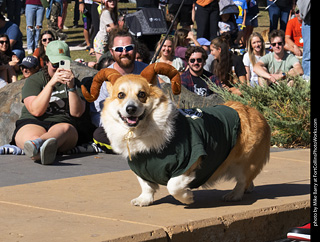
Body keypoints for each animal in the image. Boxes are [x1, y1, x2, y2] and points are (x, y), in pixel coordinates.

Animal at [82, 62, 270, 206]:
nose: (130, 109)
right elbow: (146, 186)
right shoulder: (140, 168)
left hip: (246, 161)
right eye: (120, 95)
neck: (141, 132)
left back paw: (234, 195)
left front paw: (187, 198)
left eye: (141, 94)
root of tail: (255, 111)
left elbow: (173, 186)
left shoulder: (188, 161)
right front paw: (143, 200)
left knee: (243, 179)